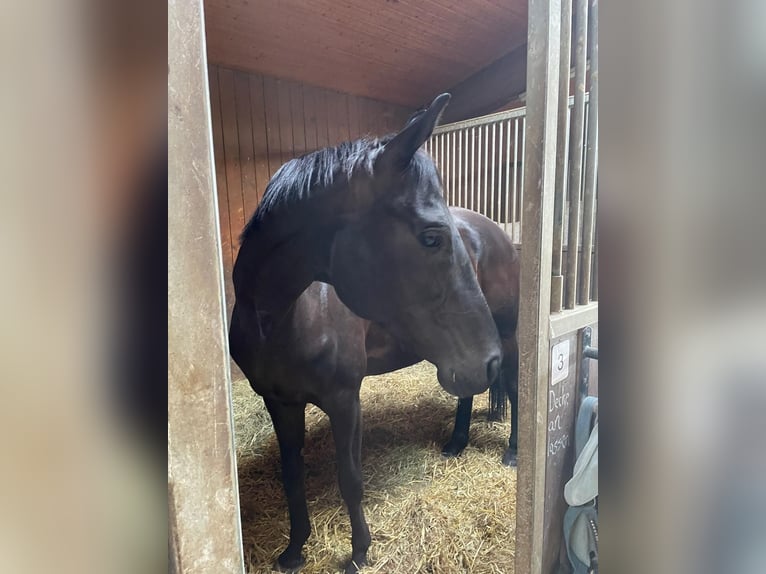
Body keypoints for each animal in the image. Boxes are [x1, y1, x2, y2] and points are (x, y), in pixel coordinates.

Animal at [229, 94, 510, 573]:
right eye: (431, 237)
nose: (487, 360)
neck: (281, 319)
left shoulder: (345, 399)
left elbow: (350, 478)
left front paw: (359, 551)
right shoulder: (279, 402)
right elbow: (291, 474)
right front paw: (294, 548)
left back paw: (513, 450)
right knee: (470, 394)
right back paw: (456, 443)